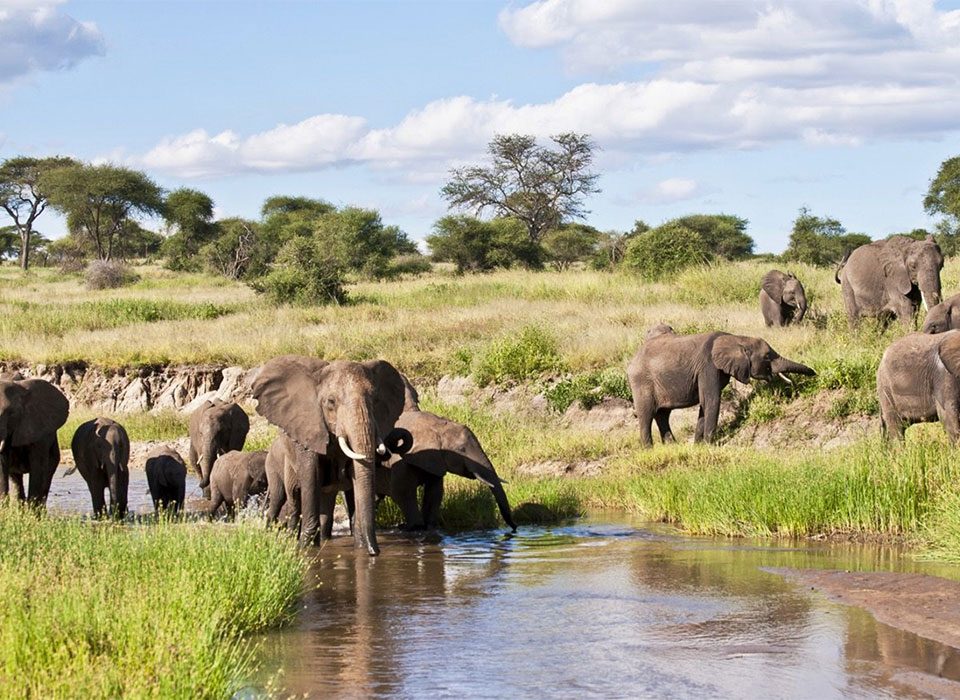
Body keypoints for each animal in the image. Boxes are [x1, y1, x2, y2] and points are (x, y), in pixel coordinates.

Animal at [0, 377, 69, 505]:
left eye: (12, 413)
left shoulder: (38, 429)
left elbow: (38, 465)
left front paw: (32, 509)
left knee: (47, 475)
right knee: (15, 478)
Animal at [251, 355, 407, 554]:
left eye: (375, 400)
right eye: (330, 402)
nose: (375, 552)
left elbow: (356, 475)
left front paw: (360, 549)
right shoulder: (309, 428)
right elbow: (311, 475)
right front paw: (306, 548)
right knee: (290, 500)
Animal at [374, 377, 516, 532]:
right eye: (461, 449)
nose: (514, 528)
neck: (435, 424)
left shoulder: (435, 461)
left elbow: (435, 493)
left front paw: (430, 527)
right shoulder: (399, 460)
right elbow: (403, 492)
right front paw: (415, 528)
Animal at [627, 326, 815, 447]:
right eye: (768, 356)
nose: (815, 373)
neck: (737, 339)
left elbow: (705, 404)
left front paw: (699, 446)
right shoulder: (708, 367)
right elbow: (711, 401)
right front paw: (710, 445)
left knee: (663, 415)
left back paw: (672, 447)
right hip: (641, 382)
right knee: (647, 415)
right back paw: (648, 449)